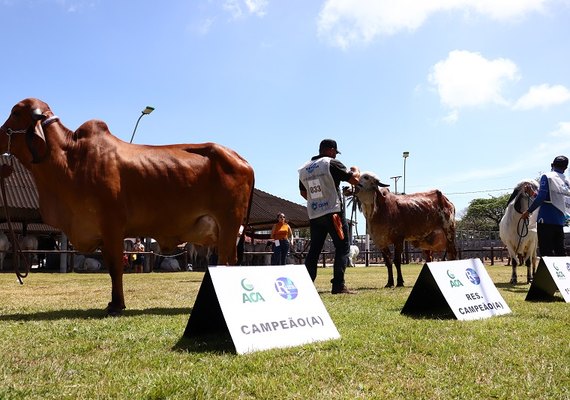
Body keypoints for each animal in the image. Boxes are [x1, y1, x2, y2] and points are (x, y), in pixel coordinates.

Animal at [0, 98, 253, 314]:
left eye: (15, 112)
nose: (0, 134)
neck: (70, 159)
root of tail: (242, 160)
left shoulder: (112, 226)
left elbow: (115, 268)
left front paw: (116, 306)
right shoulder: (101, 233)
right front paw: (114, 303)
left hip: (229, 224)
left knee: (227, 261)